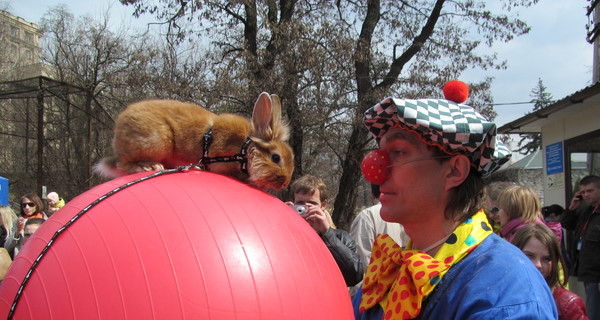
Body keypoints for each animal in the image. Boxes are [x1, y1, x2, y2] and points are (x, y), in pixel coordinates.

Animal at [93, 92, 296, 191]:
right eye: (276, 158)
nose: (285, 183)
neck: (244, 150)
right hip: (156, 141)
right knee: (123, 164)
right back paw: (149, 166)